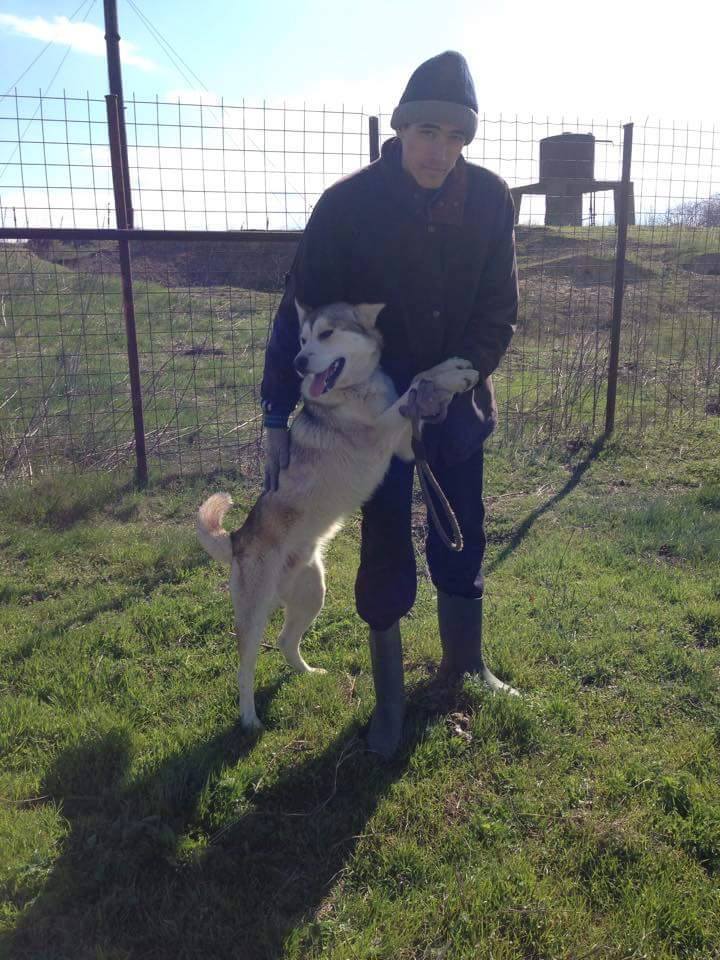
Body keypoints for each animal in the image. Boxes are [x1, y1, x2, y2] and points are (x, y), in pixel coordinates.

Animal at [197, 300, 478, 728]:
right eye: (301, 339)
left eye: (326, 334)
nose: (298, 362)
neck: (356, 390)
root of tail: (236, 539)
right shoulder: (378, 432)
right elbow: (414, 382)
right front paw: (452, 374)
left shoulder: (403, 448)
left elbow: (418, 388)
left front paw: (449, 375)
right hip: (254, 615)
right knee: (244, 671)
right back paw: (249, 719)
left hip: (313, 595)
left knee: (285, 641)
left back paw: (308, 673)